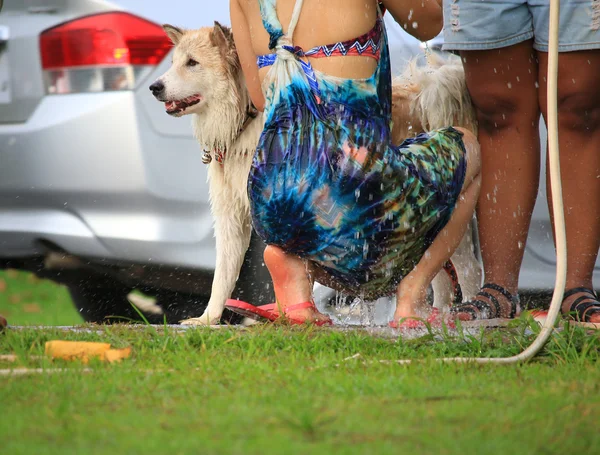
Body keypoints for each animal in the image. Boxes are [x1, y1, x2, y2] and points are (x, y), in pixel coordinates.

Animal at [151, 23, 482, 326]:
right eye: (173, 62)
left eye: (192, 63)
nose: (155, 87)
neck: (244, 117)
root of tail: (424, 96)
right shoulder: (231, 215)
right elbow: (223, 275)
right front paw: (207, 320)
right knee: (439, 276)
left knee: (468, 271)